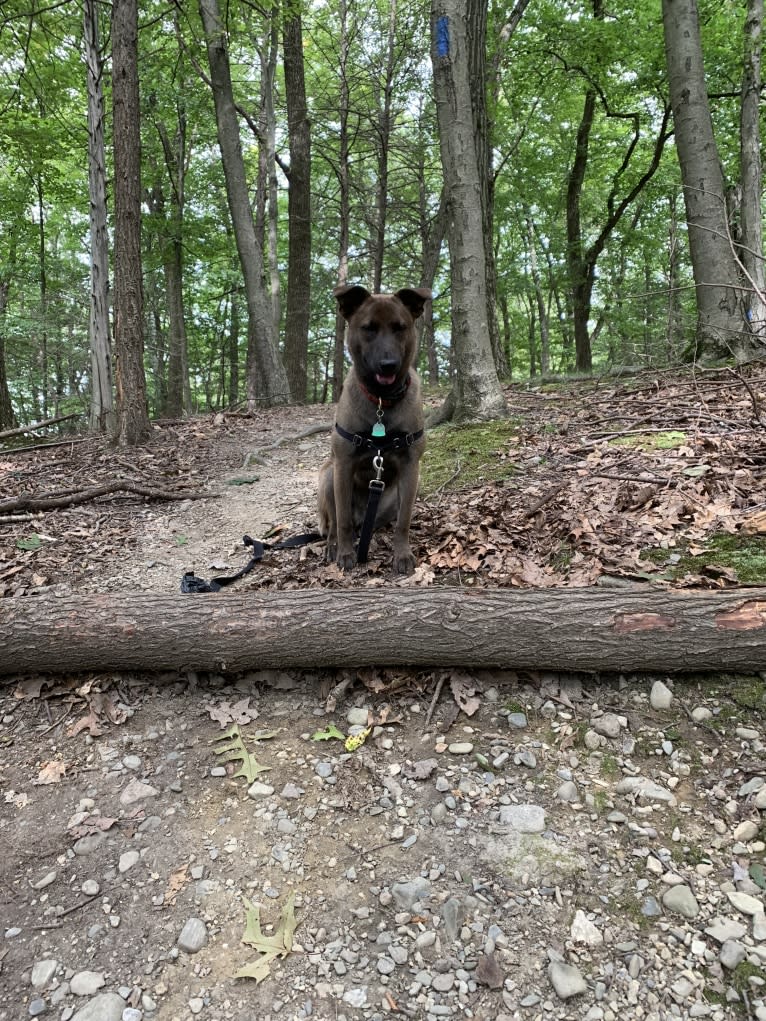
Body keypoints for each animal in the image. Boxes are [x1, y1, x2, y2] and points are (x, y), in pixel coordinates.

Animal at [318, 285, 433, 575]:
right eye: (368, 328)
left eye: (400, 327)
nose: (388, 364)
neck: (381, 400)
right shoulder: (343, 464)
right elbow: (342, 521)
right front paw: (346, 553)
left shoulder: (411, 467)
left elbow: (404, 522)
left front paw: (401, 554)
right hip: (329, 477)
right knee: (335, 523)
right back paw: (333, 545)